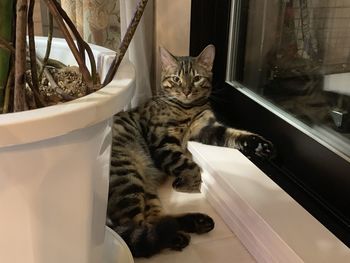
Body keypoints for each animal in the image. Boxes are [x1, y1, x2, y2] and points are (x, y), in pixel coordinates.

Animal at [106, 44, 274, 258]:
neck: (188, 109)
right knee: (137, 226)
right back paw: (177, 236)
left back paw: (196, 223)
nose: (186, 91)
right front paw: (189, 184)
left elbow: (236, 135)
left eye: (196, 78)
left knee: (155, 221)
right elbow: (189, 165)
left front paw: (261, 145)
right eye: (176, 79)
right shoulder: (162, 141)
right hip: (128, 177)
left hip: (146, 189)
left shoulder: (208, 128)